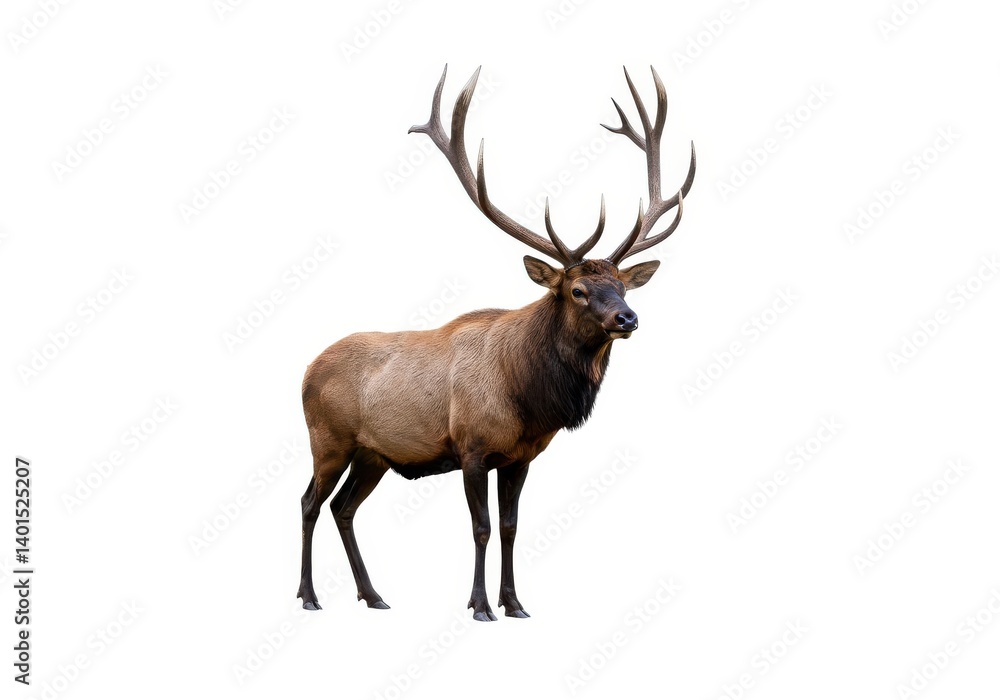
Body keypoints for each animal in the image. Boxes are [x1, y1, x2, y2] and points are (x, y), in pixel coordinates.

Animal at [297, 65, 695, 621]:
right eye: (577, 290)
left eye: (622, 285)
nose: (628, 317)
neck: (529, 399)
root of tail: (305, 369)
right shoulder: (472, 447)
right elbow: (481, 528)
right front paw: (480, 605)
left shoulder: (521, 456)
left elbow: (509, 528)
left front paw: (515, 603)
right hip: (328, 440)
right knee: (310, 503)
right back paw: (309, 595)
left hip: (372, 454)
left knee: (343, 507)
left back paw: (373, 595)